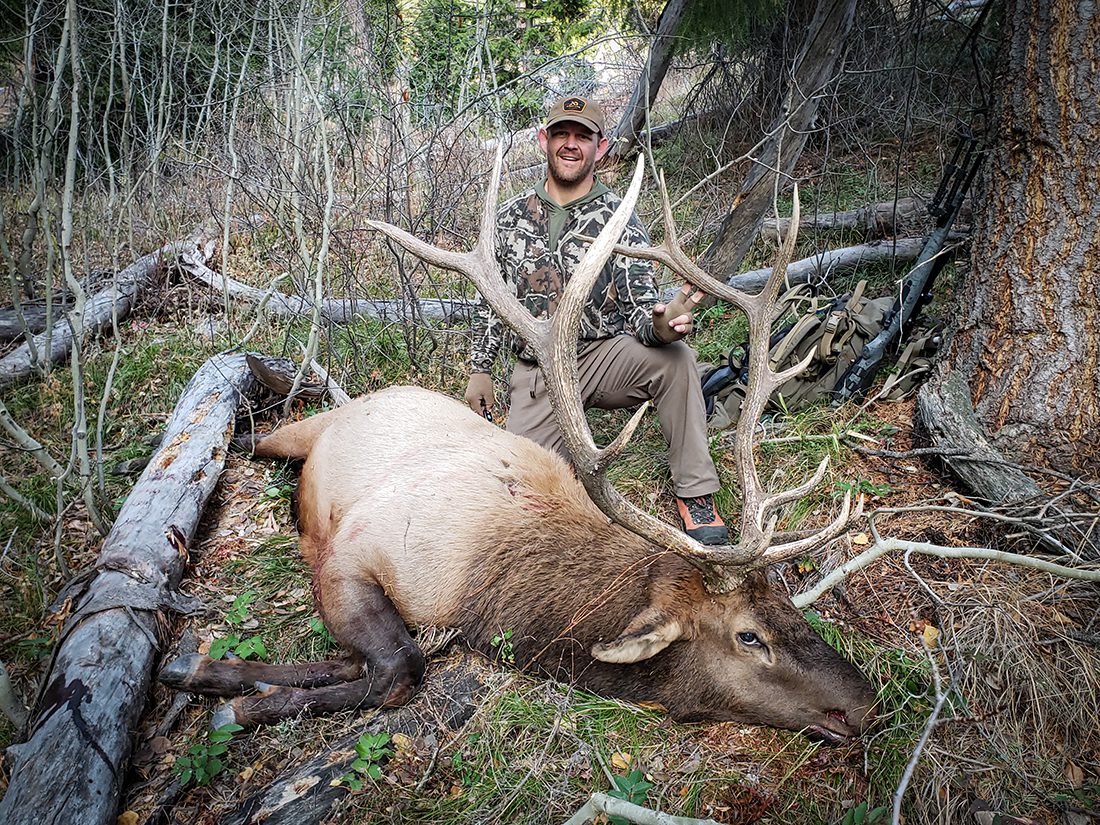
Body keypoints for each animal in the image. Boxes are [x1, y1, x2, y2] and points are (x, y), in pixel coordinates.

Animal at [160, 152, 876, 744]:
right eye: (748, 636)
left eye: (788, 603)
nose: (867, 703)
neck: (492, 589)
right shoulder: (353, 553)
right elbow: (400, 668)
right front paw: (232, 700)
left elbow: (354, 661)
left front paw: (210, 670)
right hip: (301, 434)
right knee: (252, 435)